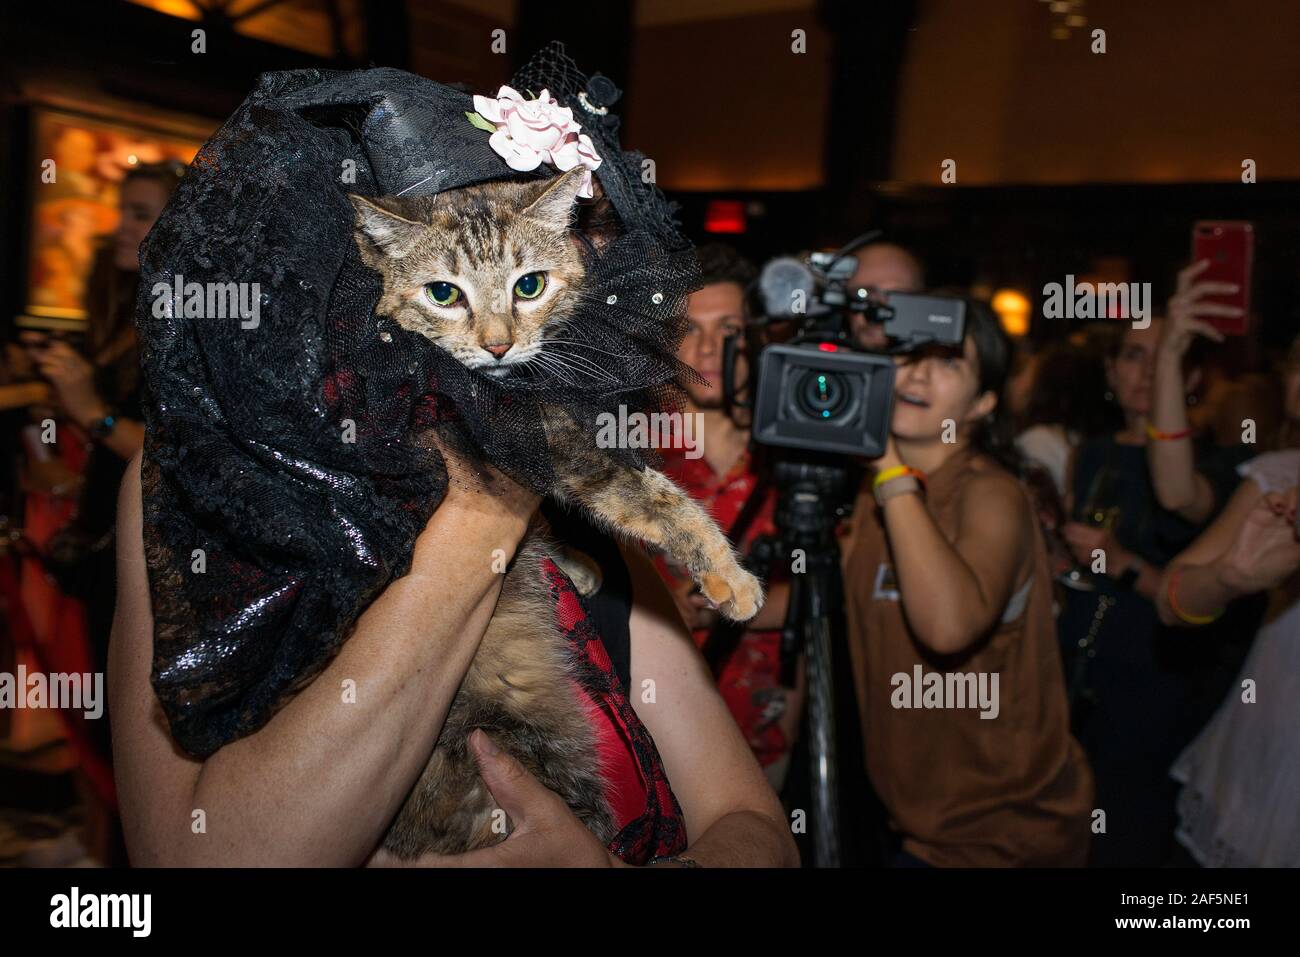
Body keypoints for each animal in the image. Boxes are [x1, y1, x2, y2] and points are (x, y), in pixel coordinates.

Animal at [351, 167, 764, 858]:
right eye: (443, 293)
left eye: (529, 285)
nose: (497, 346)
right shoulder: (564, 448)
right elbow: (661, 501)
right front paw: (730, 578)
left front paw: (571, 559)